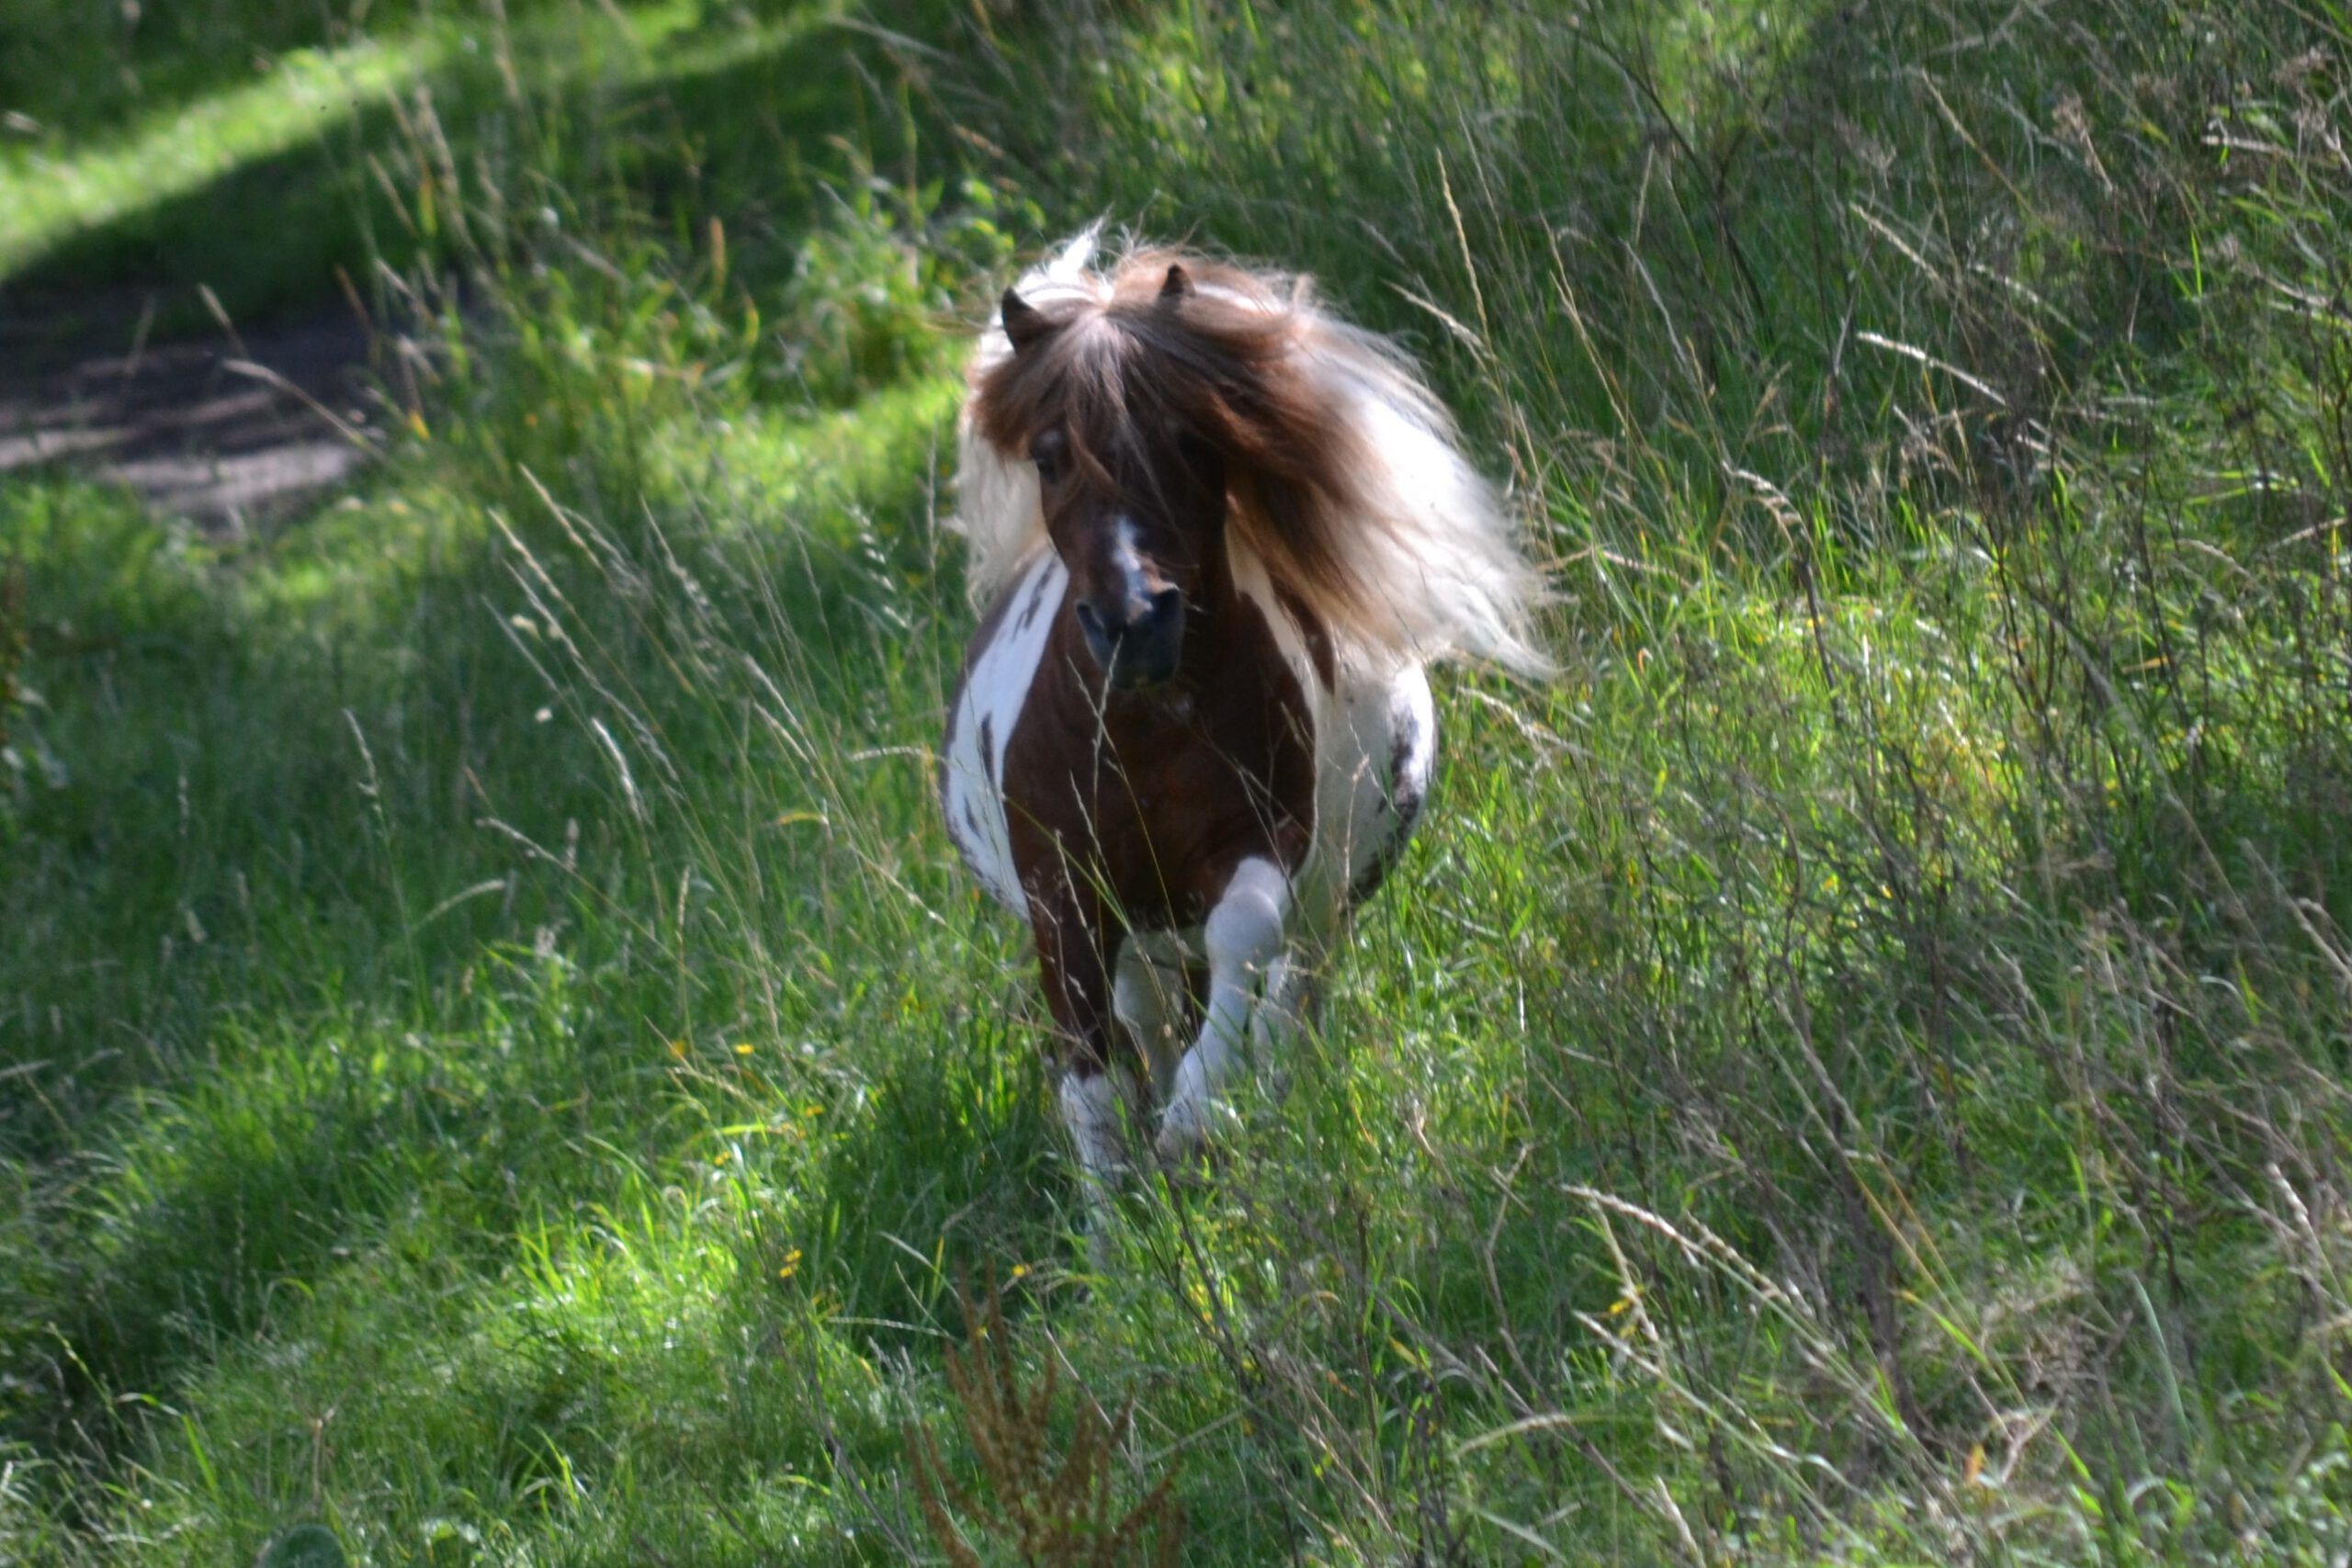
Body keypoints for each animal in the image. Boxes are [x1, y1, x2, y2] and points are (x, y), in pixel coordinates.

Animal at [935, 230, 1543, 1241]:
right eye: (1051, 458)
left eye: (1191, 439)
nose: (1136, 623)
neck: (1146, 733)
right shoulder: (1063, 896)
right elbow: (1089, 1078)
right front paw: (1113, 1240)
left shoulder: (1261, 845)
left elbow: (1243, 943)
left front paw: (1195, 1120)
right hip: (1139, 934)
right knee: (1146, 1016)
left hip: (1322, 911)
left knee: (1283, 1003)